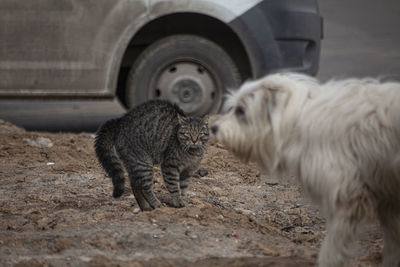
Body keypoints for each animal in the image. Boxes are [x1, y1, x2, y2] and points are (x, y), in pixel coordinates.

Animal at [211, 73, 398, 267]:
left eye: (240, 110)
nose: (213, 128)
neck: (297, 118)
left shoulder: (347, 199)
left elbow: (333, 247)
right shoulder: (388, 200)